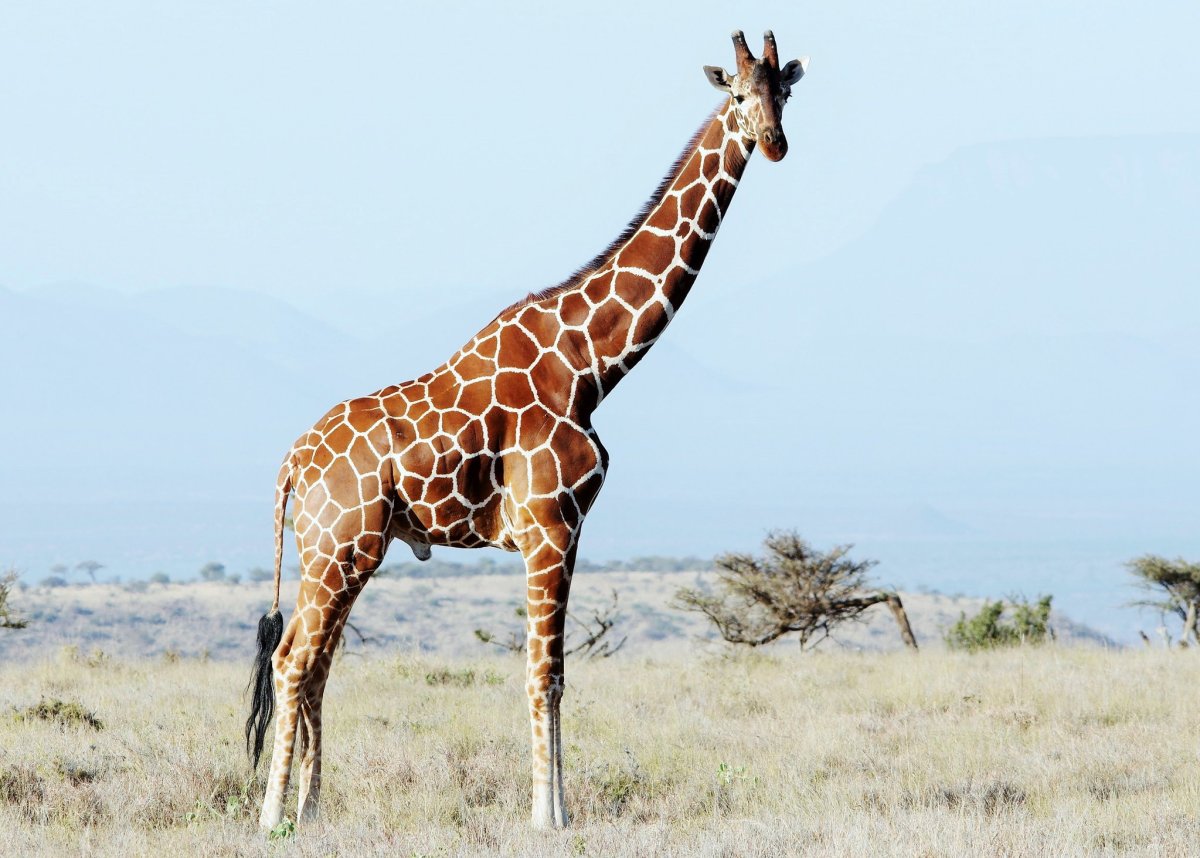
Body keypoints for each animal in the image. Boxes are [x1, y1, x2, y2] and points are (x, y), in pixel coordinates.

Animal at [245, 29, 808, 831]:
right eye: (736, 93)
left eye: (782, 91)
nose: (774, 142)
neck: (591, 365)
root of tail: (292, 461)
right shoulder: (550, 526)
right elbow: (547, 675)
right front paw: (552, 816)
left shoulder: (562, 530)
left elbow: (555, 673)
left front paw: (553, 808)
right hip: (337, 548)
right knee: (295, 660)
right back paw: (273, 817)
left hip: (346, 552)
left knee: (311, 659)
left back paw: (315, 809)